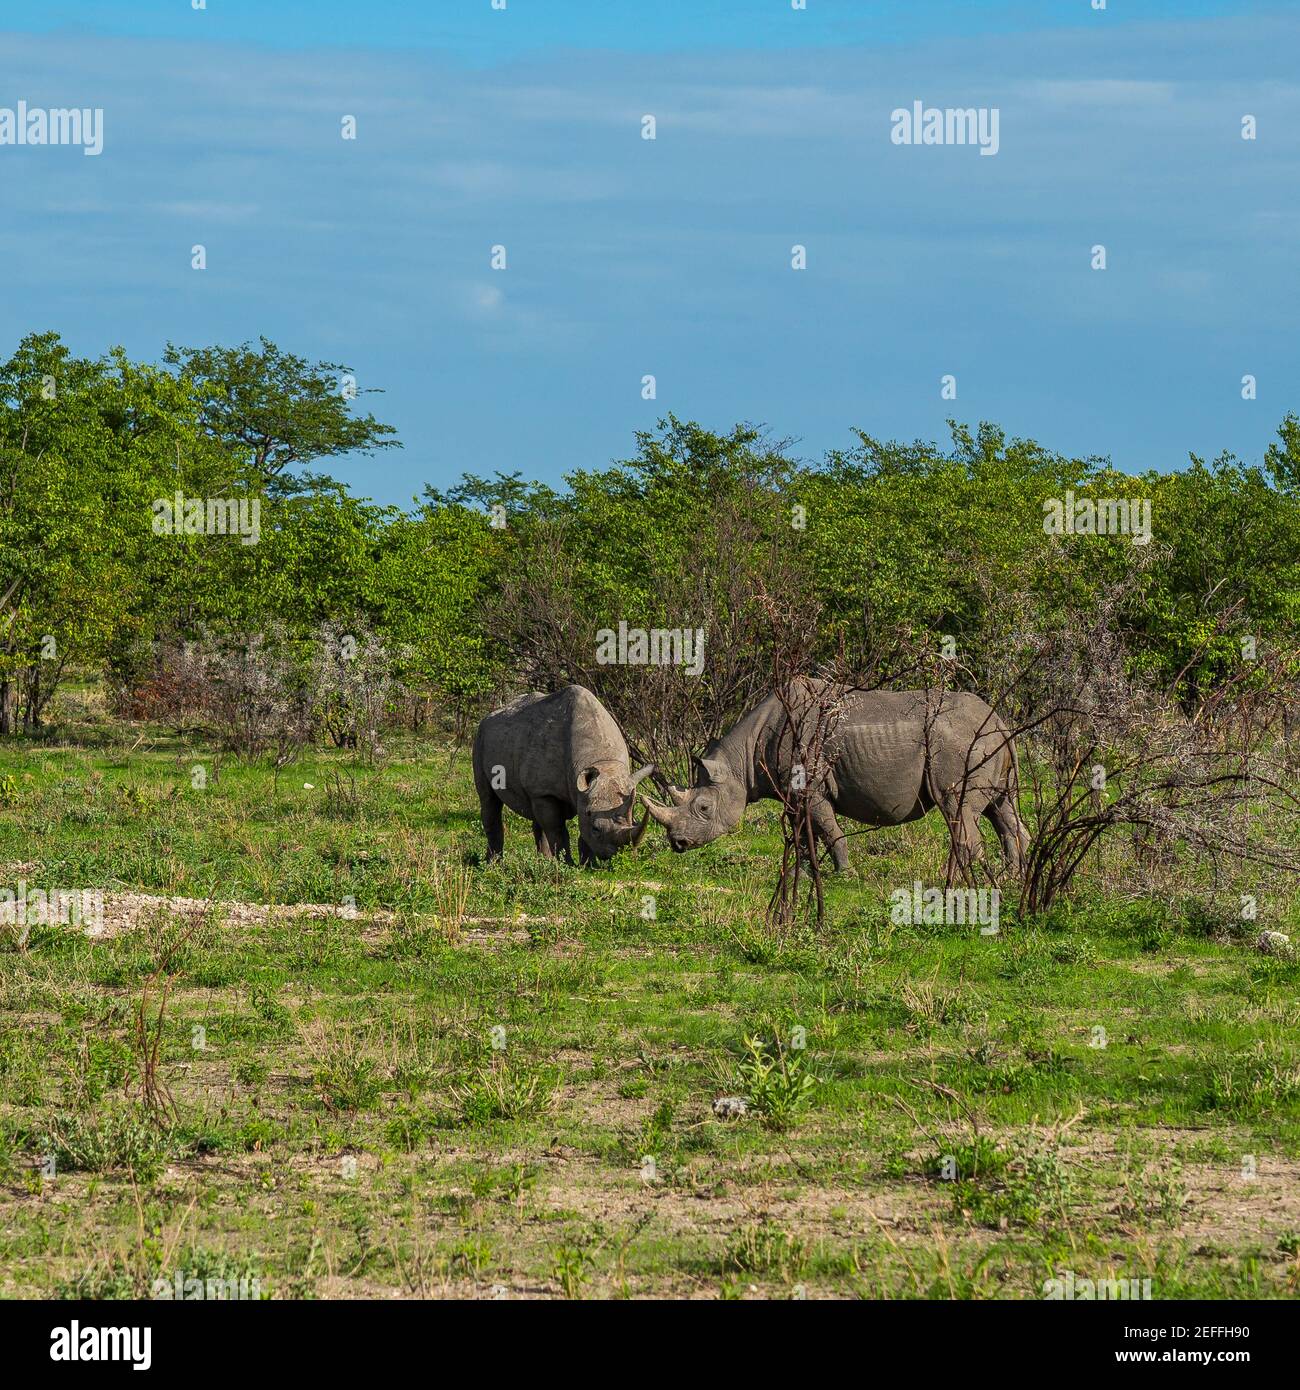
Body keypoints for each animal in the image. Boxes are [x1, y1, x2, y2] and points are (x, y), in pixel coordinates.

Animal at [473, 685, 654, 866]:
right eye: (596, 829)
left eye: (633, 821)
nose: (620, 859)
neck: (603, 761)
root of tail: (490, 715)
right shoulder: (544, 792)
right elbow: (557, 830)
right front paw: (568, 864)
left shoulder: (583, 795)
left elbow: (581, 831)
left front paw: (588, 865)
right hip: (480, 738)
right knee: (489, 800)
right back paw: (493, 863)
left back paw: (543, 861)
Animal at [640, 678, 1030, 874]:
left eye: (704, 808)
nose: (678, 843)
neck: (742, 759)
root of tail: (998, 720)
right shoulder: (792, 791)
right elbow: (802, 833)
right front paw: (802, 873)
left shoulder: (811, 787)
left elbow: (828, 829)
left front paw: (844, 874)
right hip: (986, 742)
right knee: (1002, 810)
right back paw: (1010, 876)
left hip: (958, 743)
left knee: (958, 810)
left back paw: (961, 880)